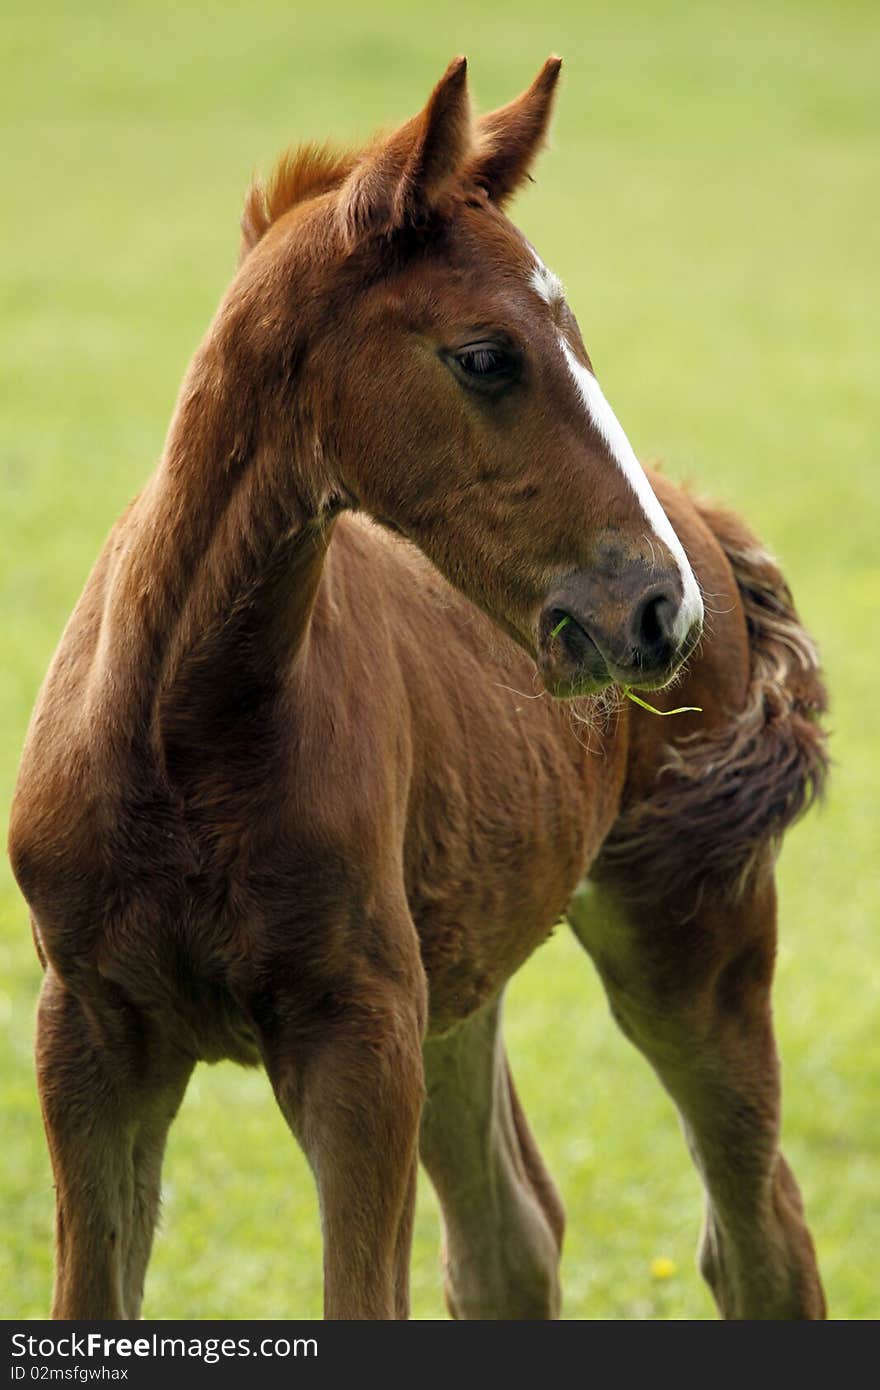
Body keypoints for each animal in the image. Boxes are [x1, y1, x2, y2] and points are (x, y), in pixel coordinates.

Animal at [10, 54, 828, 1317]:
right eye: (485, 355)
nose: (657, 609)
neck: (179, 737)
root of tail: (698, 513)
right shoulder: (88, 1037)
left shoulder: (359, 1041)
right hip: (459, 975)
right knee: (509, 1240)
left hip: (690, 941)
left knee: (757, 1241)